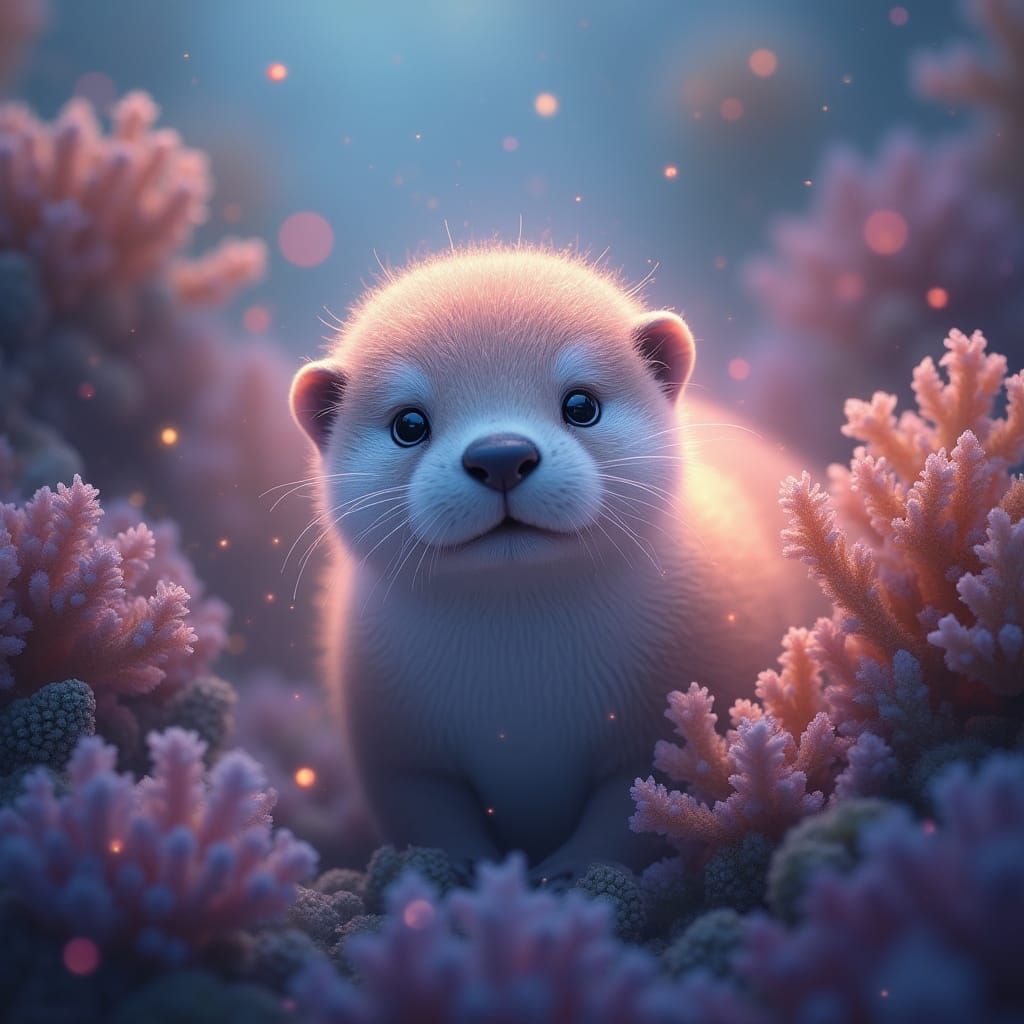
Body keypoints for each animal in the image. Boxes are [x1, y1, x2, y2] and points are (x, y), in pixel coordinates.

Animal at [289, 246, 818, 881]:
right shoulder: (391, 743)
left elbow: (635, 814)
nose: (500, 455)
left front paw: (567, 875)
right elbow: (423, 810)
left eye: (581, 405)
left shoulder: (679, 715)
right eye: (409, 424)